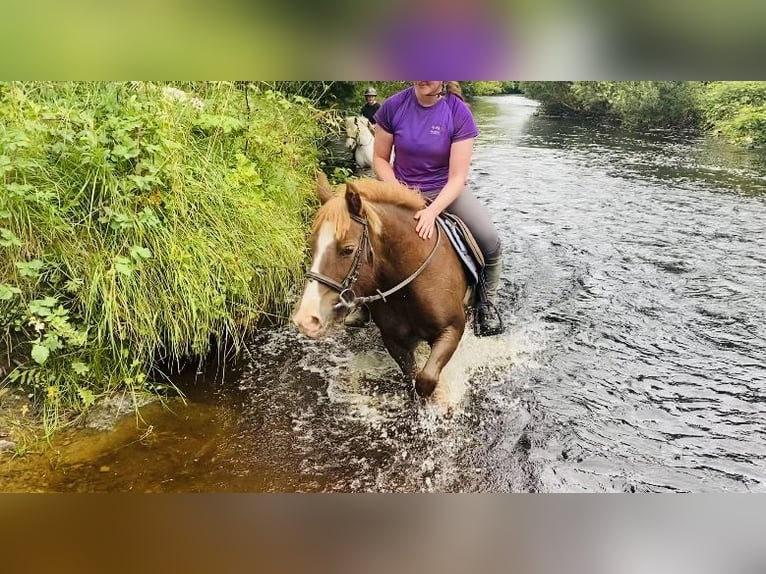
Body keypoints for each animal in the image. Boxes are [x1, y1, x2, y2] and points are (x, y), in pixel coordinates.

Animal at [294, 173, 474, 398]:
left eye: (348, 249)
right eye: (312, 246)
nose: (306, 319)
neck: (407, 285)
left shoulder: (452, 329)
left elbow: (426, 380)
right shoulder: (394, 341)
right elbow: (412, 380)